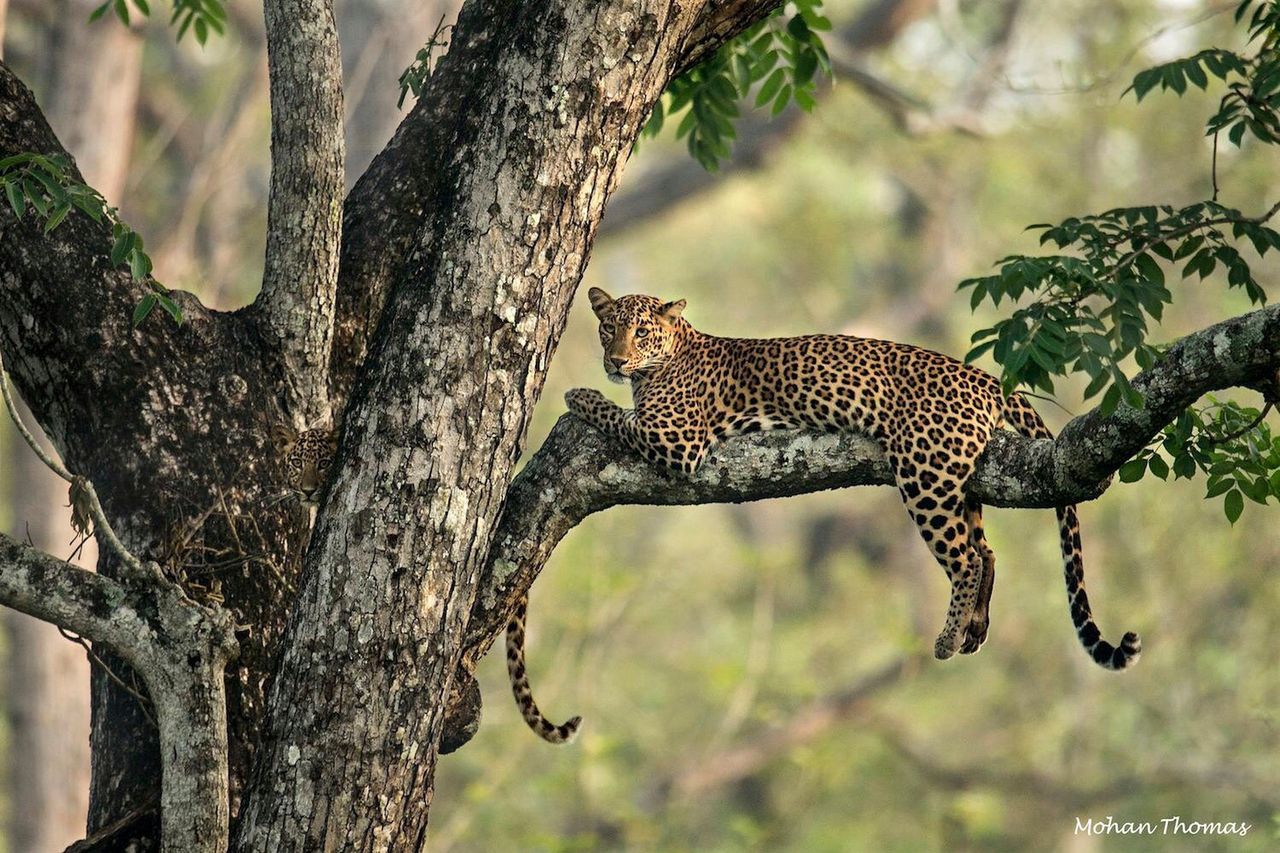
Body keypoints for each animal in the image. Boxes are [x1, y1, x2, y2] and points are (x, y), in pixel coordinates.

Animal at [501, 289, 1141, 742]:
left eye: (641, 331)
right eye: (609, 327)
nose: (615, 359)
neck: (671, 354)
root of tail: (986, 377)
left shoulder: (675, 440)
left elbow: (616, 414)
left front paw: (579, 395)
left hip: (926, 472)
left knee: (963, 558)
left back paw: (944, 637)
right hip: (959, 481)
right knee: (985, 550)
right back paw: (975, 629)